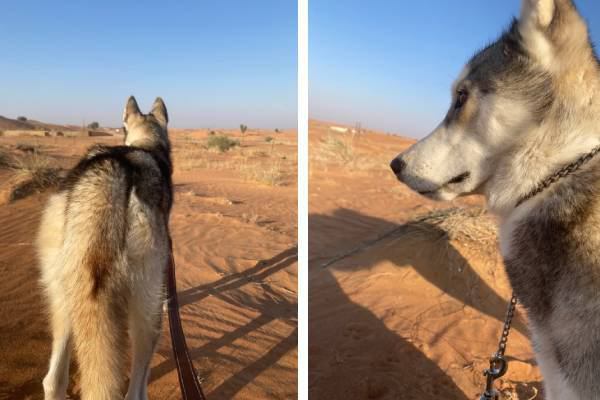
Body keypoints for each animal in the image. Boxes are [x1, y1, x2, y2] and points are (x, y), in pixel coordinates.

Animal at [37, 97, 172, 400]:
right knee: (134, 391)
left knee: (53, 380)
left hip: (64, 293)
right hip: (148, 310)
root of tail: (113, 176)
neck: (145, 144)